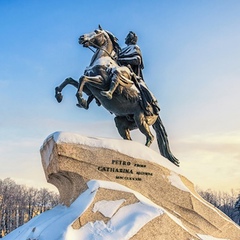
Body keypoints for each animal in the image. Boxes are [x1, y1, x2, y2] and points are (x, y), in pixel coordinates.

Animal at [54, 25, 178, 166]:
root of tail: (157, 113)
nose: (81, 38)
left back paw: (144, 154)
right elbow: (70, 80)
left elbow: (82, 78)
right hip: (123, 123)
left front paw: (82, 100)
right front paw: (59, 95)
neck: (102, 58)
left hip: (141, 119)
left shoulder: (101, 82)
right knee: (129, 137)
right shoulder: (90, 89)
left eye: (96, 32)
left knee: (150, 137)